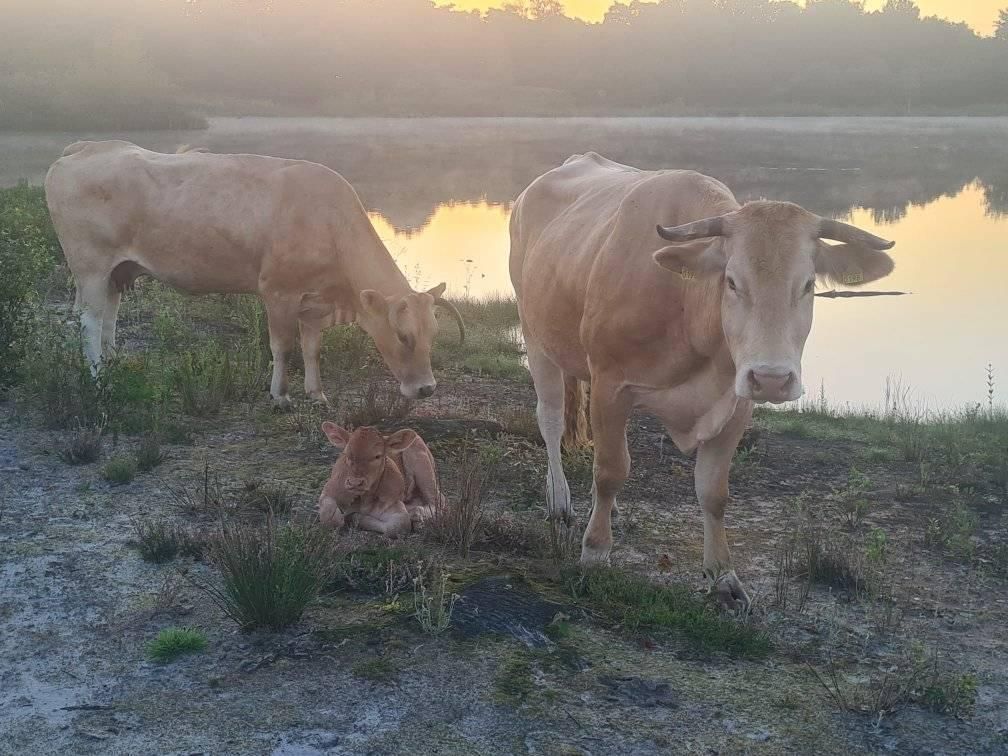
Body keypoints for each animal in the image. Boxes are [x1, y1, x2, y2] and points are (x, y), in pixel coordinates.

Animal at [42, 140, 461, 405]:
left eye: (434, 334)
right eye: (403, 336)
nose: (426, 389)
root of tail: (86, 147)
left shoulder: (315, 301)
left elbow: (312, 348)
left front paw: (316, 393)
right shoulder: (277, 292)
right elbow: (283, 346)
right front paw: (281, 396)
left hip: (116, 270)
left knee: (109, 314)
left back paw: (111, 364)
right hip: (90, 265)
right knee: (90, 320)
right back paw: (98, 379)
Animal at [508, 154, 895, 608]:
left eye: (808, 284)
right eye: (731, 281)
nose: (771, 378)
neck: (688, 313)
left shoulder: (736, 403)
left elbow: (714, 491)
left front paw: (723, 575)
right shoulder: (610, 385)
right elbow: (611, 469)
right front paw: (595, 553)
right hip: (535, 335)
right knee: (551, 419)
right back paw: (560, 498)